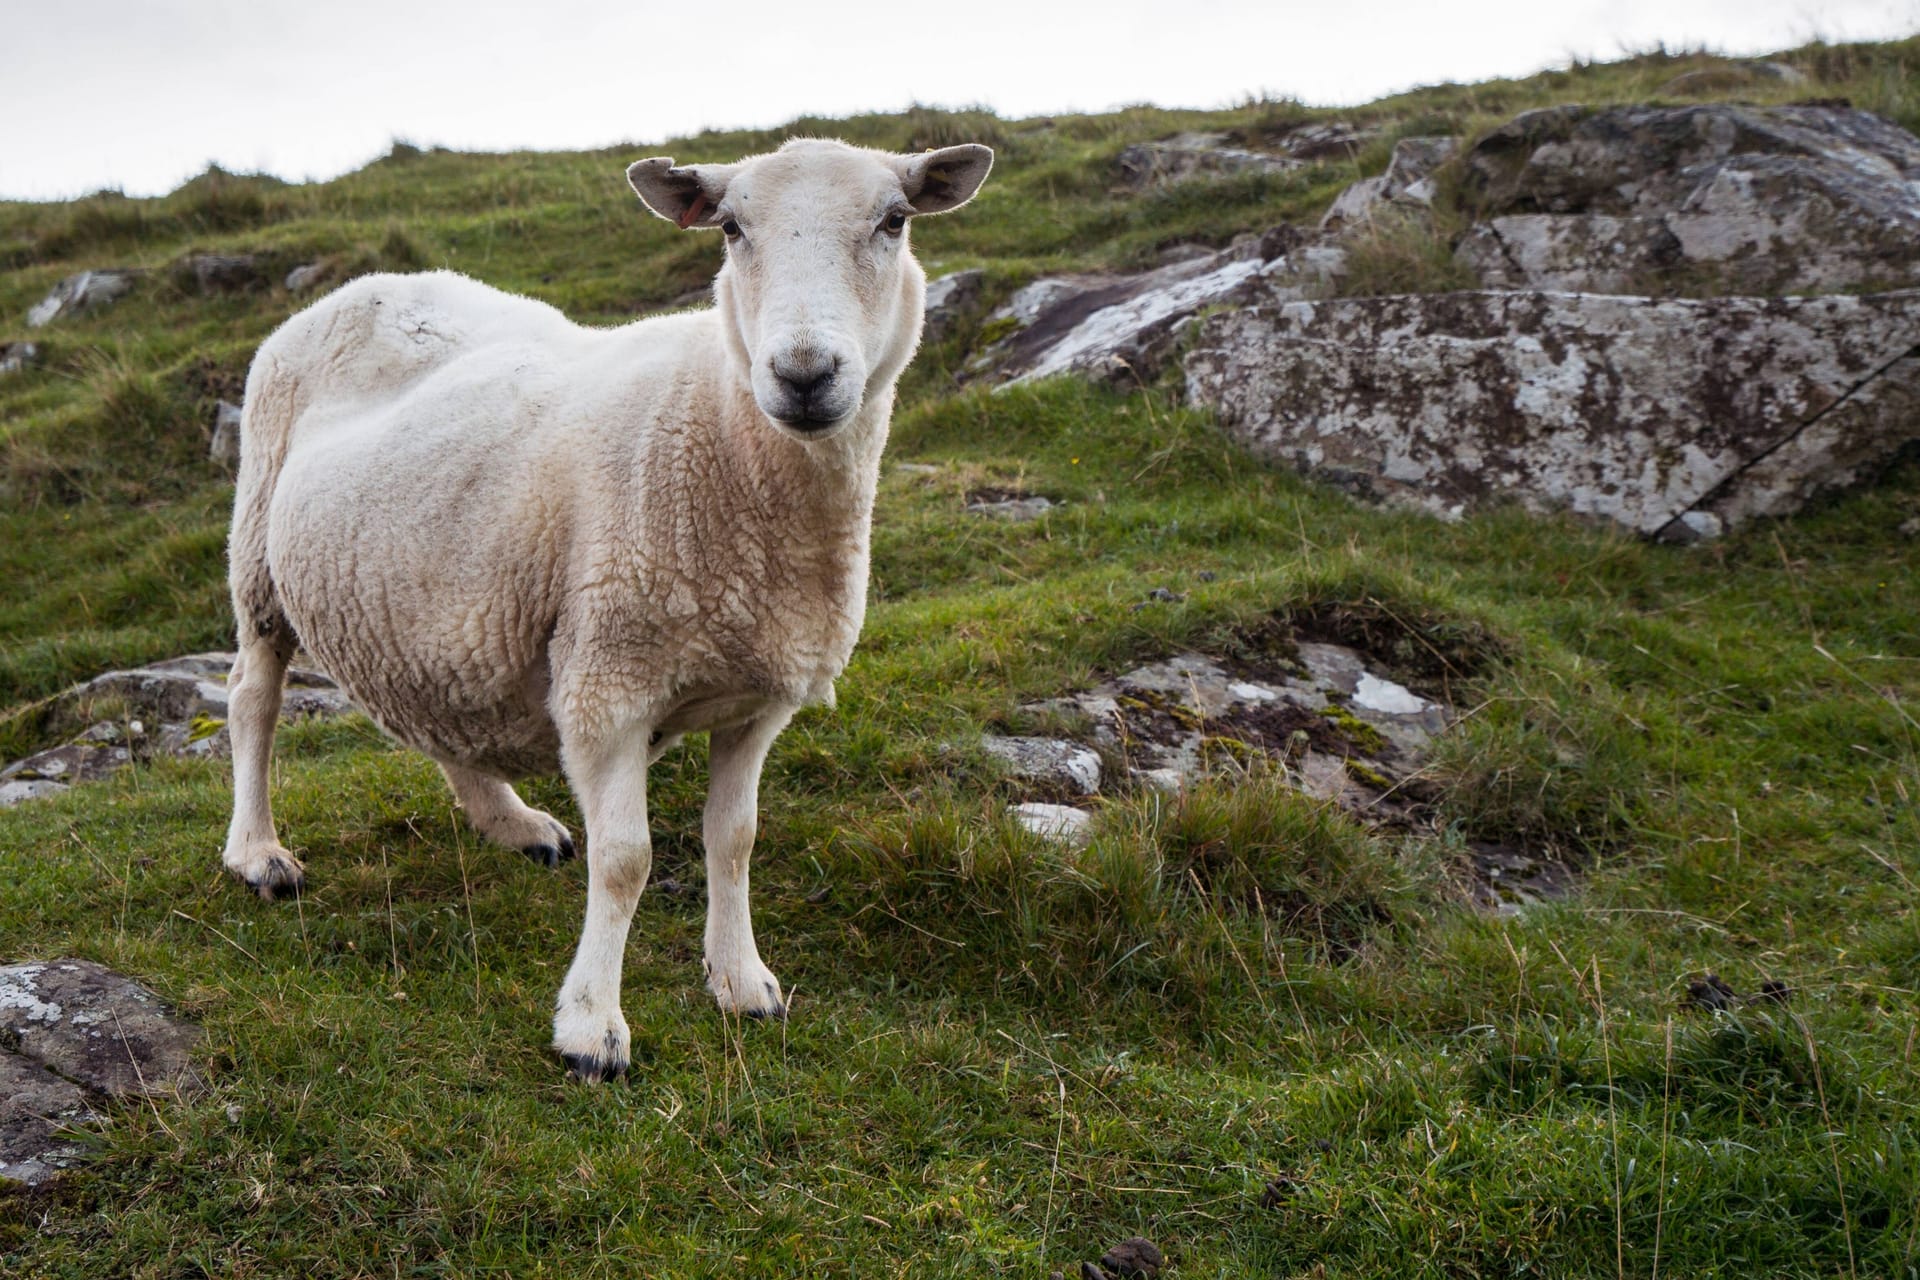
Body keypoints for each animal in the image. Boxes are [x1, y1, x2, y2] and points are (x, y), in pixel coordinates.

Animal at [226, 138, 998, 1082]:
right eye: (730, 227)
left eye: (895, 221)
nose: (804, 375)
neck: (724, 432)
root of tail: (366, 285)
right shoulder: (606, 684)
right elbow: (628, 859)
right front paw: (591, 1028)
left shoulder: (758, 700)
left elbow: (735, 838)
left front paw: (742, 981)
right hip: (259, 556)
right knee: (253, 699)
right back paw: (259, 854)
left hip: (429, 603)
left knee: (438, 716)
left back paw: (513, 823)